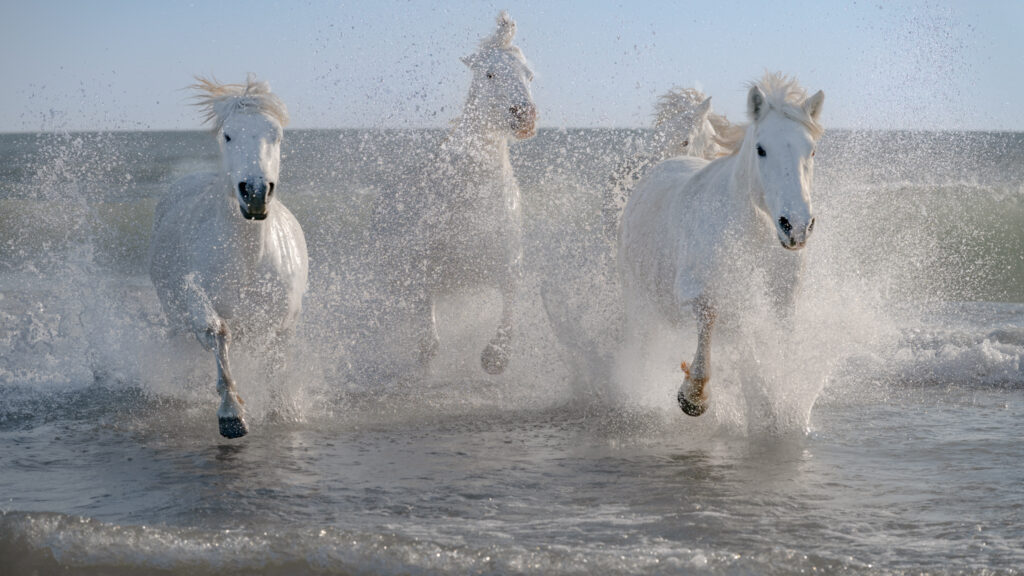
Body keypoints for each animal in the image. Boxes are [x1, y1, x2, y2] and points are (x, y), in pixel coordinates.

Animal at [149, 75, 308, 438]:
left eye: (276, 135)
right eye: (228, 135)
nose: (255, 192)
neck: (246, 261)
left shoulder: (284, 320)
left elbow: (276, 358)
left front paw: (283, 410)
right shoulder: (195, 297)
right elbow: (218, 332)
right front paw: (231, 414)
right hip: (174, 313)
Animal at [386, 11, 536, 375]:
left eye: (529, 75)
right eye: (489, 73)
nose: (524, 116)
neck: (469, 193)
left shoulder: (507, 260)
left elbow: (510, 298)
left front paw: (496, 357)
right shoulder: (425, 263)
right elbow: (427, 323)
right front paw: (427, 353)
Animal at [618, 72, 824, 417]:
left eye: (811, 151)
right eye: (761, 149)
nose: (795, 226)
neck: (753, 232)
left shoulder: (784, 294)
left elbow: (780, 339)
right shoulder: (696, 291)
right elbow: (721, 321)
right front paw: (694, 396)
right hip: (638, 301)